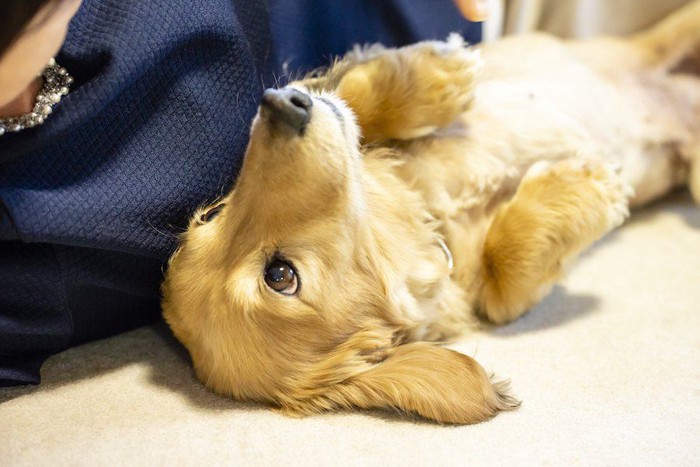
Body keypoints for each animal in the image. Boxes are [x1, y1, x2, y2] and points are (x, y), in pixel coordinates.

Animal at [160, 1, 700, 424]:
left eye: (211, 216)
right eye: (279, 275)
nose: (280, 104)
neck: (430, 217)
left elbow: (355, 95)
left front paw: (439, 73)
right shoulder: (493, 297)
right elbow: (505, 283)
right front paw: (585, 183)